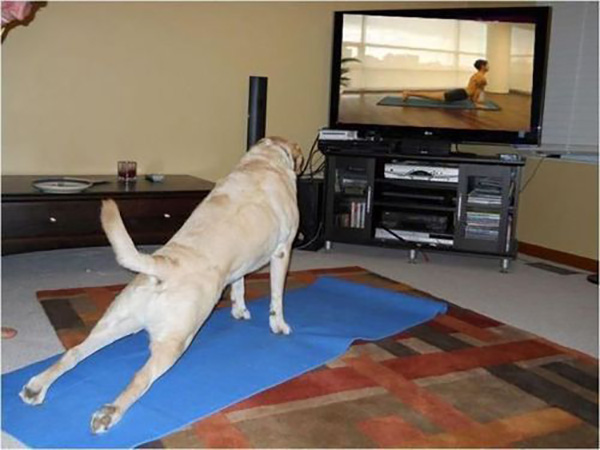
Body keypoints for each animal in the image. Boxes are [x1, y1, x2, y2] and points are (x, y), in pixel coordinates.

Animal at [19, 136, 304, 432]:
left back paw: (36, 386)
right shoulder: (283, 251)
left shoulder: (242, 263)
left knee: (73, 353)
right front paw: (279, 325)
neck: (262, 161)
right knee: (140, 378)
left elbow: (239, 284)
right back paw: (109, 412)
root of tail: (164, 265)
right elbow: (276, 296)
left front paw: (239, 310)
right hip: (175, 341)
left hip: (116, 323)